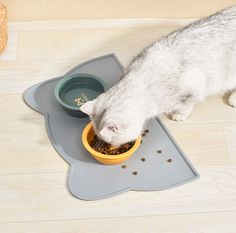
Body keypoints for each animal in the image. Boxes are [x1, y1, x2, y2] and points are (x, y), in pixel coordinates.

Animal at [80, 6, 236, 146]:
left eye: (110, 141)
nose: (109, 146)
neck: (142, 80)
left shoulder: (191, 91)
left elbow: (185, 106)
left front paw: (179, 115)